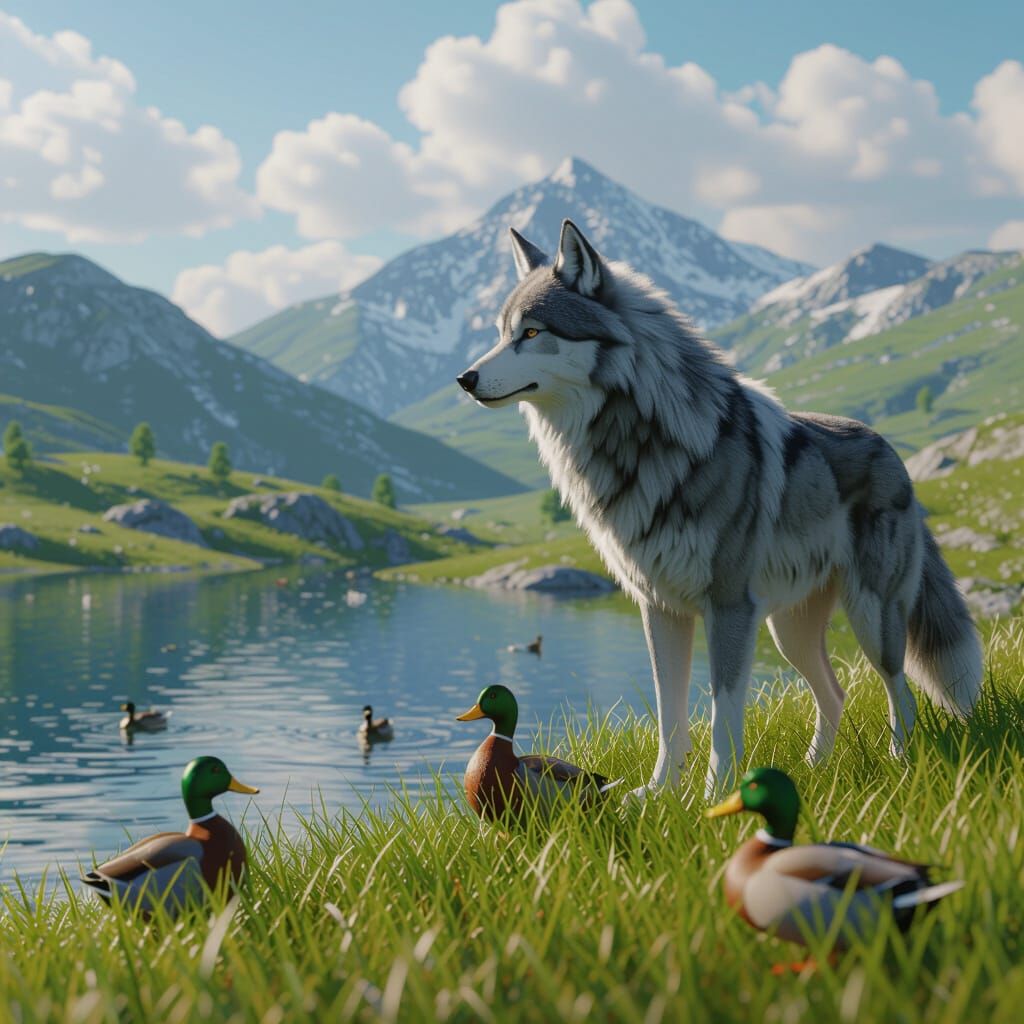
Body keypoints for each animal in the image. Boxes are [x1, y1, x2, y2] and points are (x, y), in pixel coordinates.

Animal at [456, 219, 983, 799]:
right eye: (501, 333)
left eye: (531, 333)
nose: (465, 379)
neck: (638, 444)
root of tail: (893, 453)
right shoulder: (658, 608)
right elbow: (670, 715)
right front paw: (657, 795)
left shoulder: (728, 608)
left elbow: (721, 714)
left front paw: (715, 795)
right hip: (789, 633)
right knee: (836, 692)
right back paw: (816, 768)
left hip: (871, 617)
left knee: (900, 690)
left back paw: (899, 764)